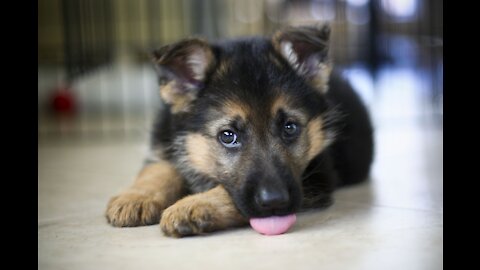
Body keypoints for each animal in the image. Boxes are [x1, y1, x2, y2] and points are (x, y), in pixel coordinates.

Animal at [106, 24, 376, 236]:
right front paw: (137, 197)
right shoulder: (164, 140)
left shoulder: (317, 176)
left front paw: (193, 206)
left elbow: (226, 193)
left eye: (290, 127)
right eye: (228, 136)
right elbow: (158, 169)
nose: (275, 202)